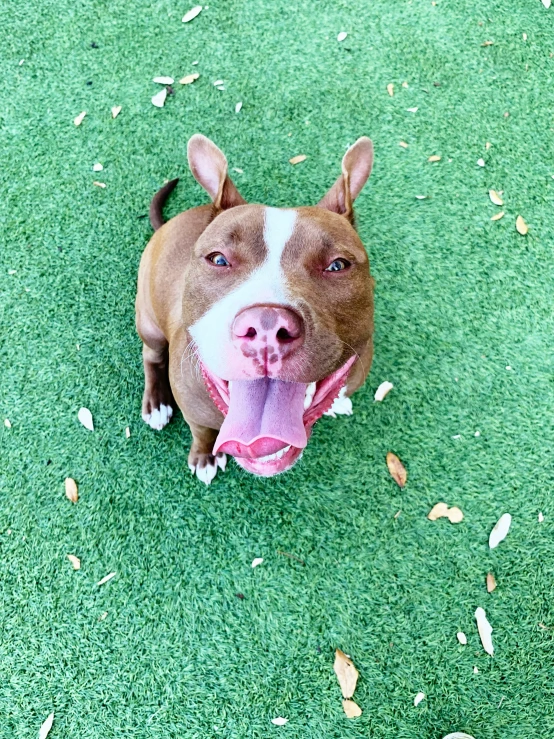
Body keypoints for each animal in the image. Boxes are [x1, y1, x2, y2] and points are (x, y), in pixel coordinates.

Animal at [135, 135, 374, 482]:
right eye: (219, 259)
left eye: (337, 265)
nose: (267, 325)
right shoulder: (193, 407)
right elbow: (201, 432)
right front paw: (204, 455)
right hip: (148, 322)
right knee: (151, 355)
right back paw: (156, 404)